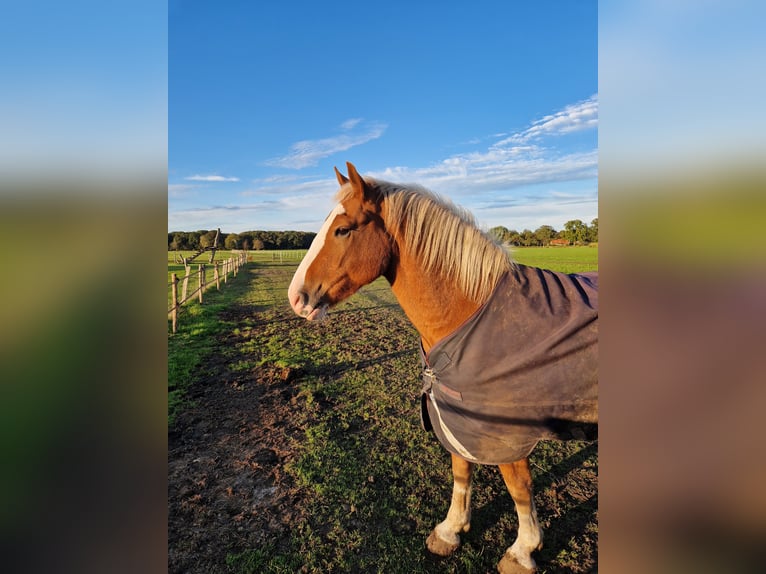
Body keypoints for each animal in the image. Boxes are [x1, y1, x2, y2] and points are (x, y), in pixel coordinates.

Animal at [288, 162, 600, 574]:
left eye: (343, 229)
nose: (296, 297)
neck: (471, 310)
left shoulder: (507, 430)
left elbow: (518, 486)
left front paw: (523, 551)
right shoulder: (457, 414)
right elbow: (461, 470)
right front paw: (451, 531)